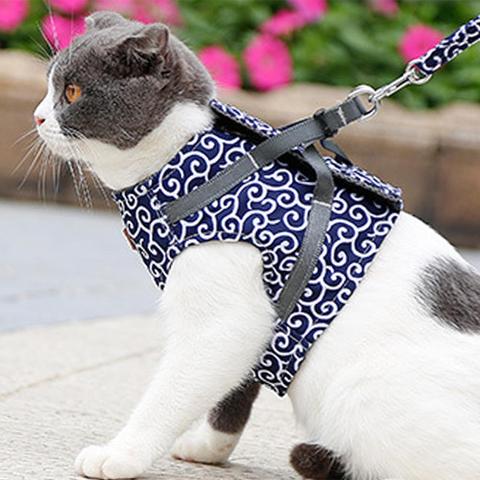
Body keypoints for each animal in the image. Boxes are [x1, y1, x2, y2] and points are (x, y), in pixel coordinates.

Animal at [33, 10, 480, 480]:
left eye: (72, 92)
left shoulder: (226, 315)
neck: (185, 163)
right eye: (48, 86)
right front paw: (209, 448)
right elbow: (237, 387)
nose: (38, 116)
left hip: (361, 396)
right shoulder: (263, 319)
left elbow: (173, 390)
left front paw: (121, 454)